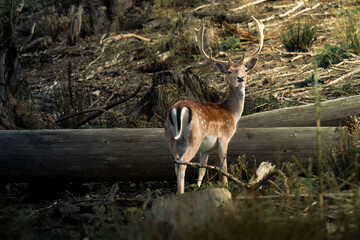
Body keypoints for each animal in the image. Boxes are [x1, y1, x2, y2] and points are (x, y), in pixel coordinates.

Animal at [165, 16, 262, 194]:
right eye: (229, 71)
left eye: (245, 69)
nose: (240, 78)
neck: (231, 113)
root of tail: (178, 108)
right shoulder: (224, 137)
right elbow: (223, 168)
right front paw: (226, 187)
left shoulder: (205, 149)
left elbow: (202, 169)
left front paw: (198, 187)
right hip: (195, 136)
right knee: (182, 164)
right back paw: (180, 194)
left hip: (170, 137)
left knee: (176, 162)